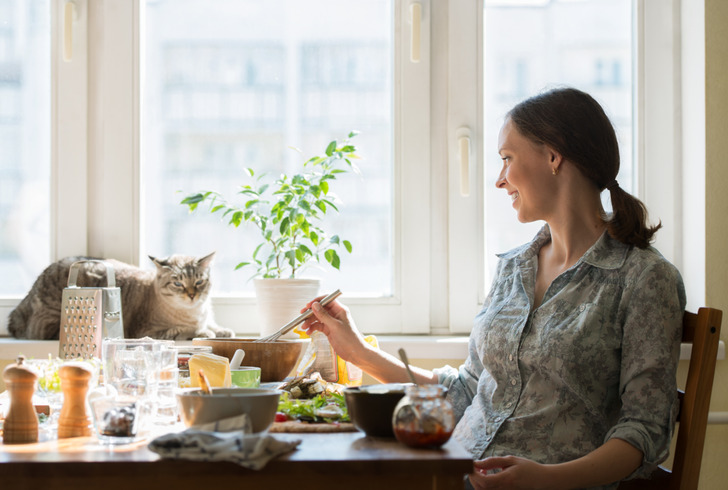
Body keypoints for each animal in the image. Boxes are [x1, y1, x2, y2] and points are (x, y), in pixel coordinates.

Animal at [7, 253, 235, 340]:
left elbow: (215, 326)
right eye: (178, 283)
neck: (195, 311)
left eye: (199, 282)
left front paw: (223, 331)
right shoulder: (148, 331)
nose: (192, 295)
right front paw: (204, 332)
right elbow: (187, 330)